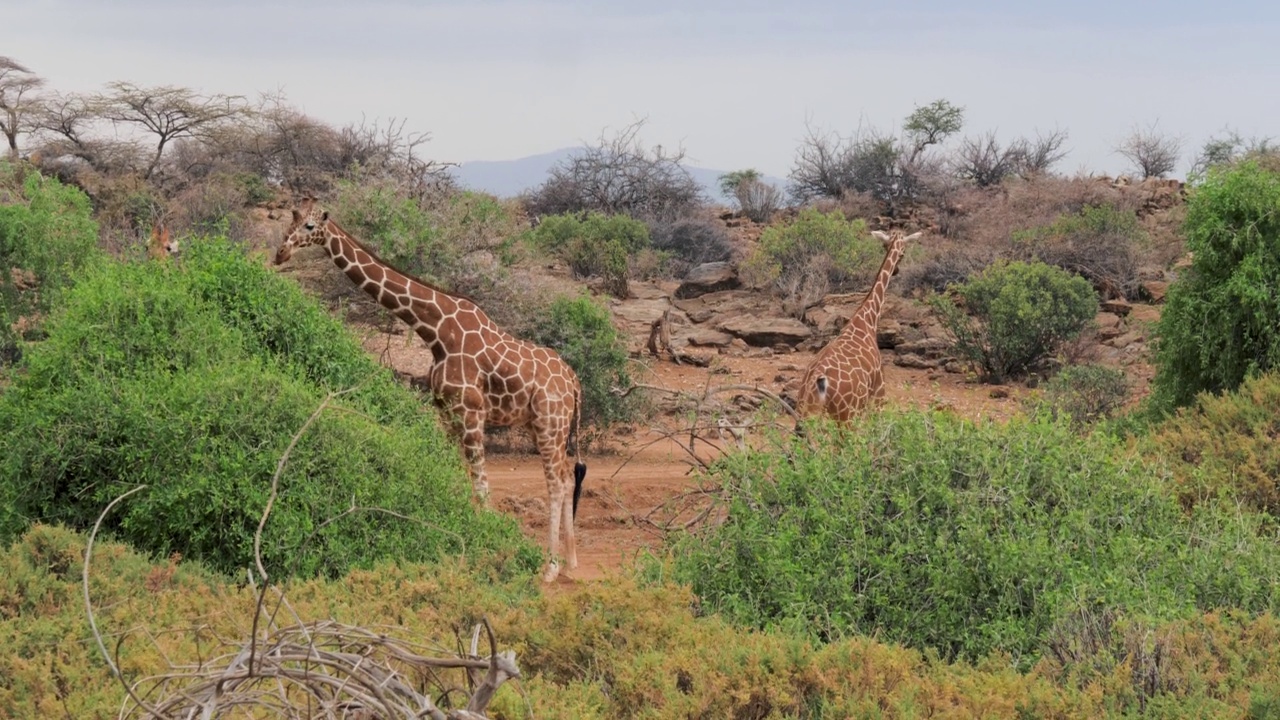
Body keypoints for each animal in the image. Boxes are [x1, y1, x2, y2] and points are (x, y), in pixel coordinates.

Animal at [277, 198, 586, 579]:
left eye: (309, 226)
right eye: (289, 219)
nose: (280, 253)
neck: (436, 331)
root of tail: (573, 381)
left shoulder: (471, 413)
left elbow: (481, 487)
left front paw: (490, 547)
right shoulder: (447, 414)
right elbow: (454, 479)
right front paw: (459, 543)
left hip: (549, 422)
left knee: (556, 482)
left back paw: (551, 567)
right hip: (546, 426)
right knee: (567, 477)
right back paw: (571, 561)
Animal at [793, 226, 916, 420]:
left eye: (884, 245)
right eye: (903, 252)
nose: (896, 270)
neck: (867, 320)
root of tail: (816, 388)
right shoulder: (878, 392)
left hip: (803, 413)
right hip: (849, 414)